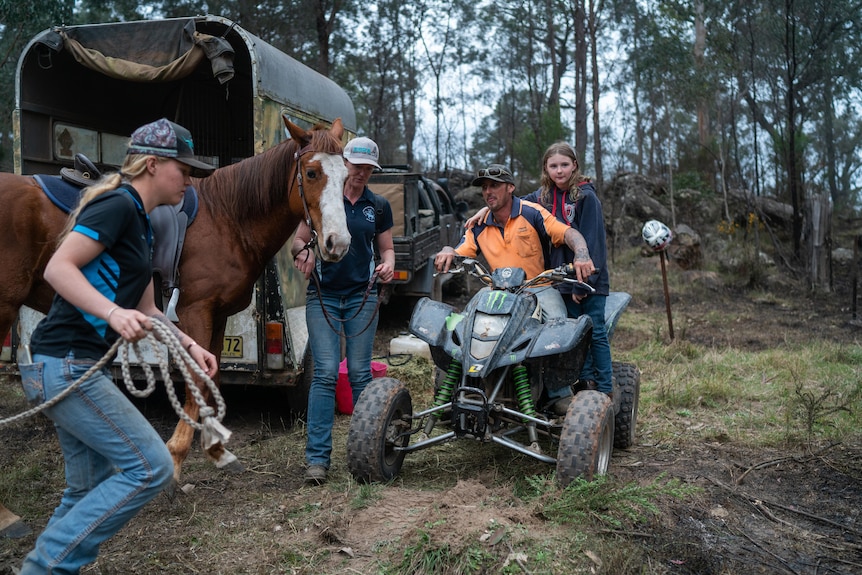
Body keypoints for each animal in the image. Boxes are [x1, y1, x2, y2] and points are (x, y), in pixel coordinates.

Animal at [0, 115, 352, 484]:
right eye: (311, 173)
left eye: (346, 175)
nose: (338, 243)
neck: (227, 217)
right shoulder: (195, 311)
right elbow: (196, 379)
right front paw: (177, 456)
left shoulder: (218, 315)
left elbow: (212, 375)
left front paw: (215, 448)